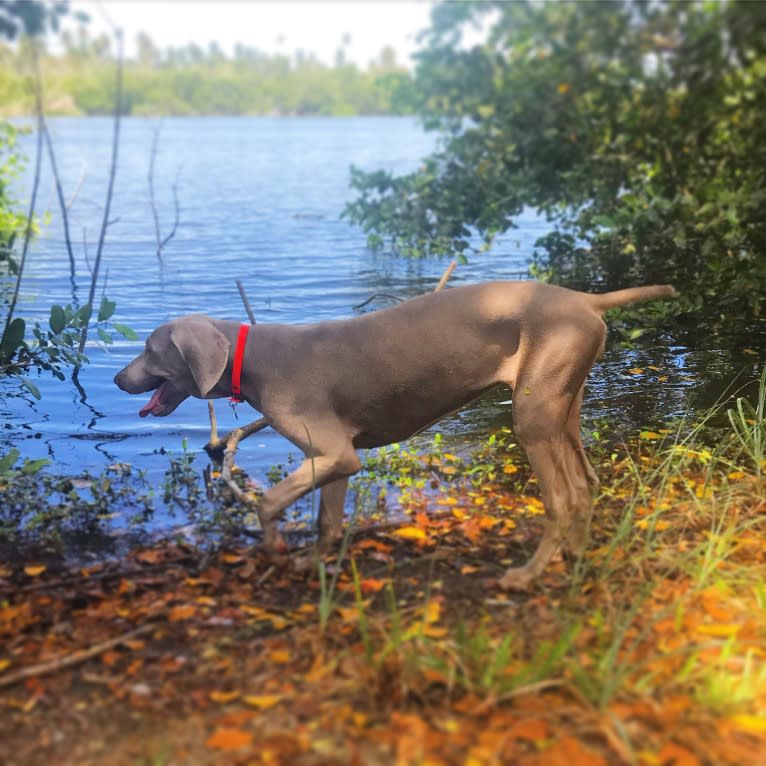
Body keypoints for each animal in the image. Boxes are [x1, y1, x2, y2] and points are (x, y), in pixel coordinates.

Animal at [115, 280, 680, 592]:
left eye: (149, 348)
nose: (119, 379)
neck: (251, 358)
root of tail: (588, 299)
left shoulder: (335, 453)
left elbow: (268, 502)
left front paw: (274, 549)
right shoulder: (332, 458)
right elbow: (325, 521)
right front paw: (312, 563)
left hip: (534, 416)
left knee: (562, 499)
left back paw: (527, 575)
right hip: (565, 408)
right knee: (583, 486)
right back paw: (576, 560)